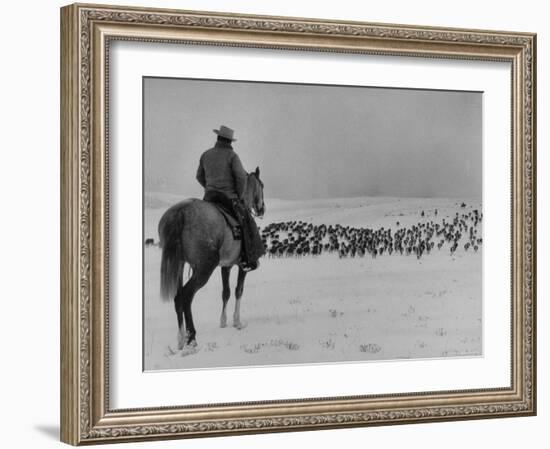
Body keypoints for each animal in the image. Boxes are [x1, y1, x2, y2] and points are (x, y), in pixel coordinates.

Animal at [157, 166, 268, 352]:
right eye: (262, 185)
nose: (261, 209)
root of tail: (181, 212)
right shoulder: (241, 265)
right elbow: (238, 290)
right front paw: (237, 321)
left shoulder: (226, 266)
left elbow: (226, 292)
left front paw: (223, 322)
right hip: (204, 268)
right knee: (186, 296)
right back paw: (191, 337)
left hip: (179, 264)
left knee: (178, 297)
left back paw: (180, 339)